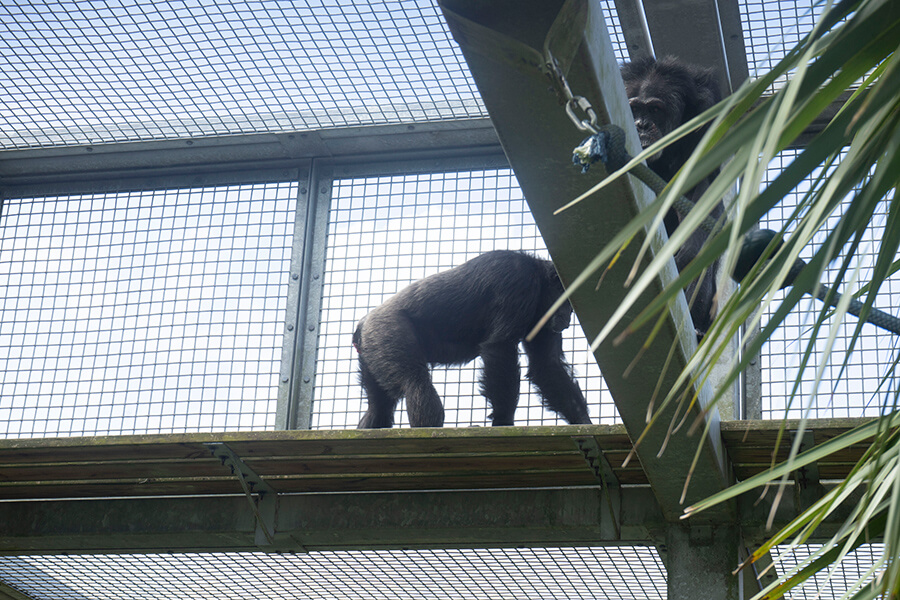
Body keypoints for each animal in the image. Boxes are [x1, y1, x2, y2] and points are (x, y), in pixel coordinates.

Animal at [356, 251, 596, 428]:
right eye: (567, 302)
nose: (568, 317)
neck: (538, 281)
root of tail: (363, 324)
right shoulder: (517, 282)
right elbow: (501, 347)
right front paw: (503, 421)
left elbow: (546, 366)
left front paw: (583, 421)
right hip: (387, 330)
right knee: (414, 381)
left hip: (372, 352)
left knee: (379, 407)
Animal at [620, 56, 724, 338]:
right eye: (635, 109)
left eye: (655, 109)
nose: (641, 125)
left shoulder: (706, 118)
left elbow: (703, 188)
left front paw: (688, 253)